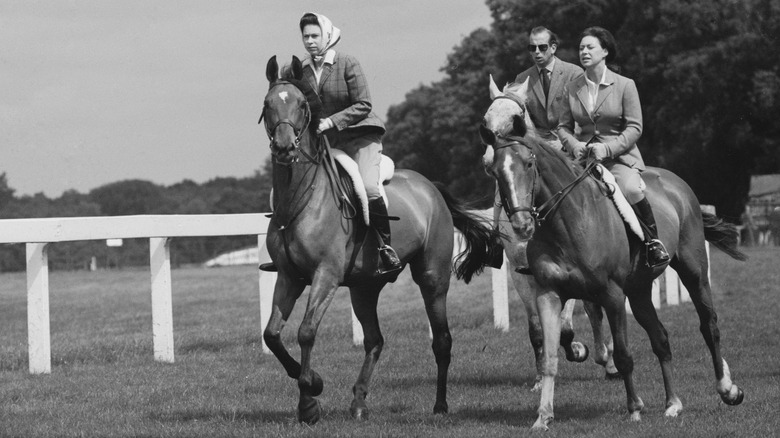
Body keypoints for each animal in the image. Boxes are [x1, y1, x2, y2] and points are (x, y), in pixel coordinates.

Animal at [258, 55, 496, 424]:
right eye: (268, 104)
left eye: (301, 104)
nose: (284, 148)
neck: (301, 197)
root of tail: (431, 187)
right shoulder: (289, 277)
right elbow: (271, 335)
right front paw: (310, 383)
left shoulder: (325, 275)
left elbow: (306, 331)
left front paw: (309, 399)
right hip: (364, 287)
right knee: (375, 341)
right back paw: (359, 402)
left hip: (432, 278)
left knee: (441, 340)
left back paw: (440, 406)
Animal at [478, 78, 748, 428]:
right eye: (498, 173)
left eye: (528, 164)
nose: (522, 224)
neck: (566, 222)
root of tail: (675, 181)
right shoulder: (545, 291)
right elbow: (549, 352)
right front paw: (543, 416)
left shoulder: (611, 295)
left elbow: (622, 352)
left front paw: (633, 407)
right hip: (640, 289)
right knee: (661, 338)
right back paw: (672, 404)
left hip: (692, 270)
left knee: (708, 324)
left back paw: (728, 388)